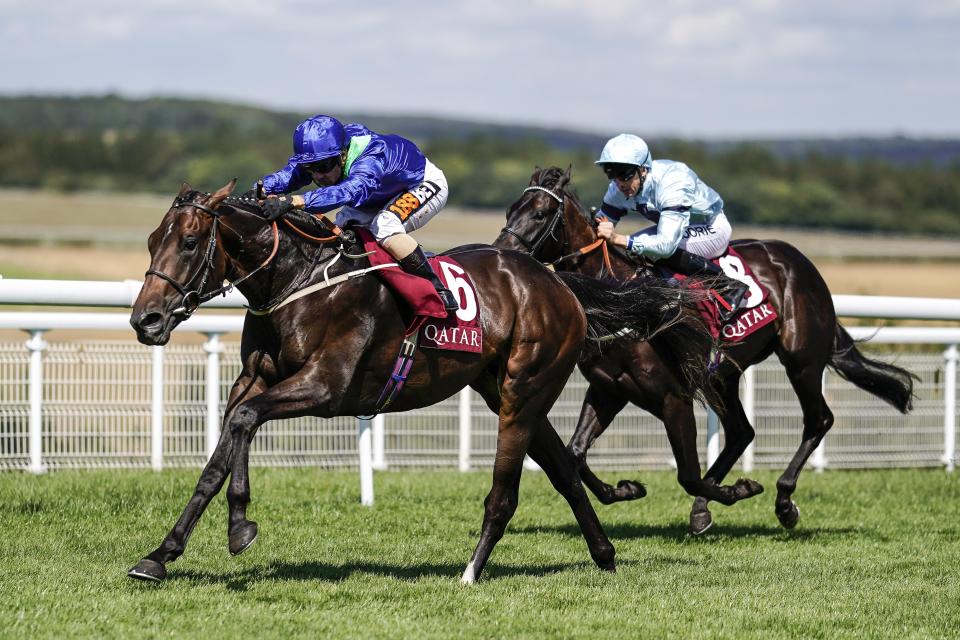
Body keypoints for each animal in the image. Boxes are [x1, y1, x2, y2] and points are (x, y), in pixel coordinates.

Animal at [125, 178, 712, 584]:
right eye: (152, 240)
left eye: (191, 240)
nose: (145, 320)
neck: (297, 280)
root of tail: (560, 284)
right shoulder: (252, 381)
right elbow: (220, 453)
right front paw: (160, 555)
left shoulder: (325, 387)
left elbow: (246, 423)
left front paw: (241, 525)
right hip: (506, 390)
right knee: (565, 470)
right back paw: (605, 554)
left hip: (523, 391)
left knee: (505, 492)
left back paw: (471, 571)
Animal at [496, 166, 916, 536]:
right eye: (509, 210)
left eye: (539, 213)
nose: (500, 254)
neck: (621, 300)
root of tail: (801, 262)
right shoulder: (609, 389)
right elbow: (576, 453)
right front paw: (626, 489)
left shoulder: (674, 399)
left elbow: (687, 475)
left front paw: (740, 489)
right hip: (724, 376)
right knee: (742, 432)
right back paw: (703, 511)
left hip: (802, 360)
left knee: (818, 420)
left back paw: (783, 502)